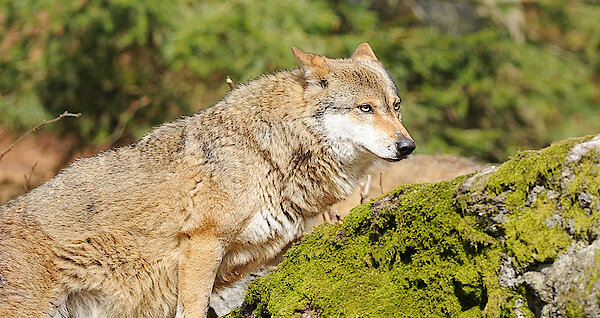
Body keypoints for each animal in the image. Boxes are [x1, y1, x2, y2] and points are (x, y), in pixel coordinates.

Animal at [0, 43, 412, 316]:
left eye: (395, 106)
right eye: (365, 108)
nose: (407, 146)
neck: (270, 152)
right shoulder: (203, 242)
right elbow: (195, 308)